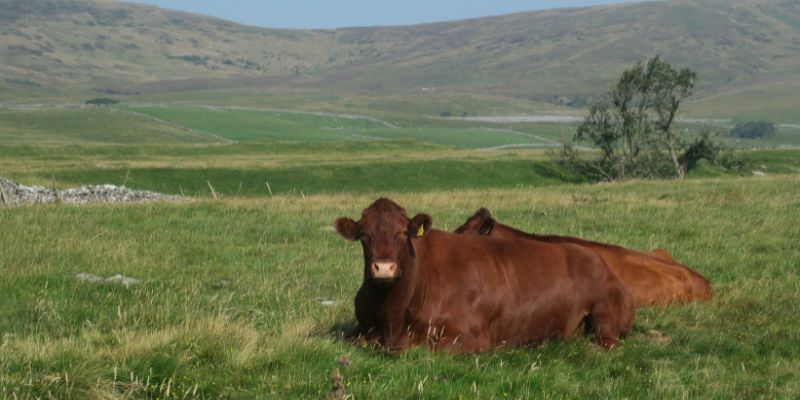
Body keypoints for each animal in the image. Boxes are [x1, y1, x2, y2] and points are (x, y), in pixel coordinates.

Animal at [334, 198, 634, 353]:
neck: (394, 316)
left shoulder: (471, 336)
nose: (384, 267)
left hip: (604, 318)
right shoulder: (361, 329)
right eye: (364, 235)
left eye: (402, 232)